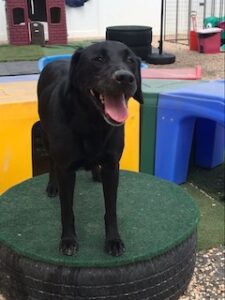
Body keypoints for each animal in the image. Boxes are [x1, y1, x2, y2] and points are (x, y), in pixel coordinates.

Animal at [37, 41, 142, 256]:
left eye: (130, 60)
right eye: (98, 59)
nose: (125, 77)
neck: (93, 122)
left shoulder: (112, 166)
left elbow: (111, 209)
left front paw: (113, 240)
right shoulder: (66, 170)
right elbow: (67, 210)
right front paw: (68, 240)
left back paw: (95, 172)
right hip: (45, 135)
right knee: (51, 162)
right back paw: (52, 186)